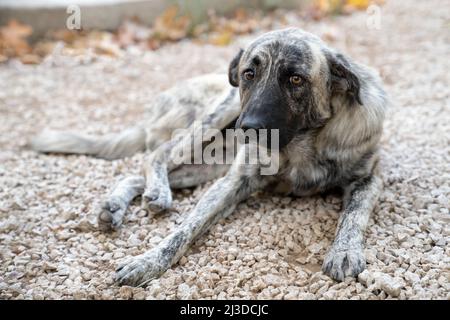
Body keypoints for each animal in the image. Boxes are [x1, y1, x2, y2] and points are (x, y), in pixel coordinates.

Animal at [30, 28, 386, 286]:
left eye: (295, 79)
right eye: (248, 74)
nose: (247, 127)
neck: (303, 143)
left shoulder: (369, 178)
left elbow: (353, 214)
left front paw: (344, 251)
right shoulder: (234, 182)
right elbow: (185, 227)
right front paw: (148, 261)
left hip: (209, 163)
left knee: (138, 172)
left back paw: (117, 205)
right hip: (213, 120)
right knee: (156, 155)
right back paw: (155, 192)